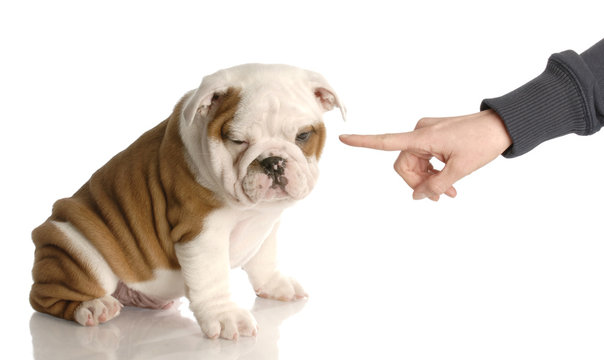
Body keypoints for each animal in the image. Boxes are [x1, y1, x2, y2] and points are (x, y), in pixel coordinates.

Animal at [30, 64, 344, 340]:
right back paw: (93, 307)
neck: (250, 209)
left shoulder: (265, 224)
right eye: (237, 140)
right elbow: (212, 277)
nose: (273, 161)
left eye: (303, 135)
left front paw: (275, 285)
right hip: (75, 248)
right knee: (45, 297)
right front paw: (226, 316)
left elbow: (264, 258)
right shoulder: (202, 232)